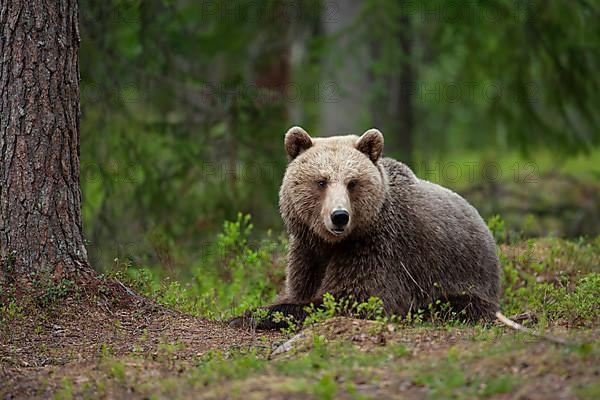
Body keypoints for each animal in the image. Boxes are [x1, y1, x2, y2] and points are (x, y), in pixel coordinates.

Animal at [230, 126, 502, 330]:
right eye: (321, 181)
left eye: (352, 182)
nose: (339, 217)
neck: (333, 243)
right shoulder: (308, 250)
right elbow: (298, 288)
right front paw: (248, 312)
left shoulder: (379, 249)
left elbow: (353, 299)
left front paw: (255, 315)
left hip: (464, 280)